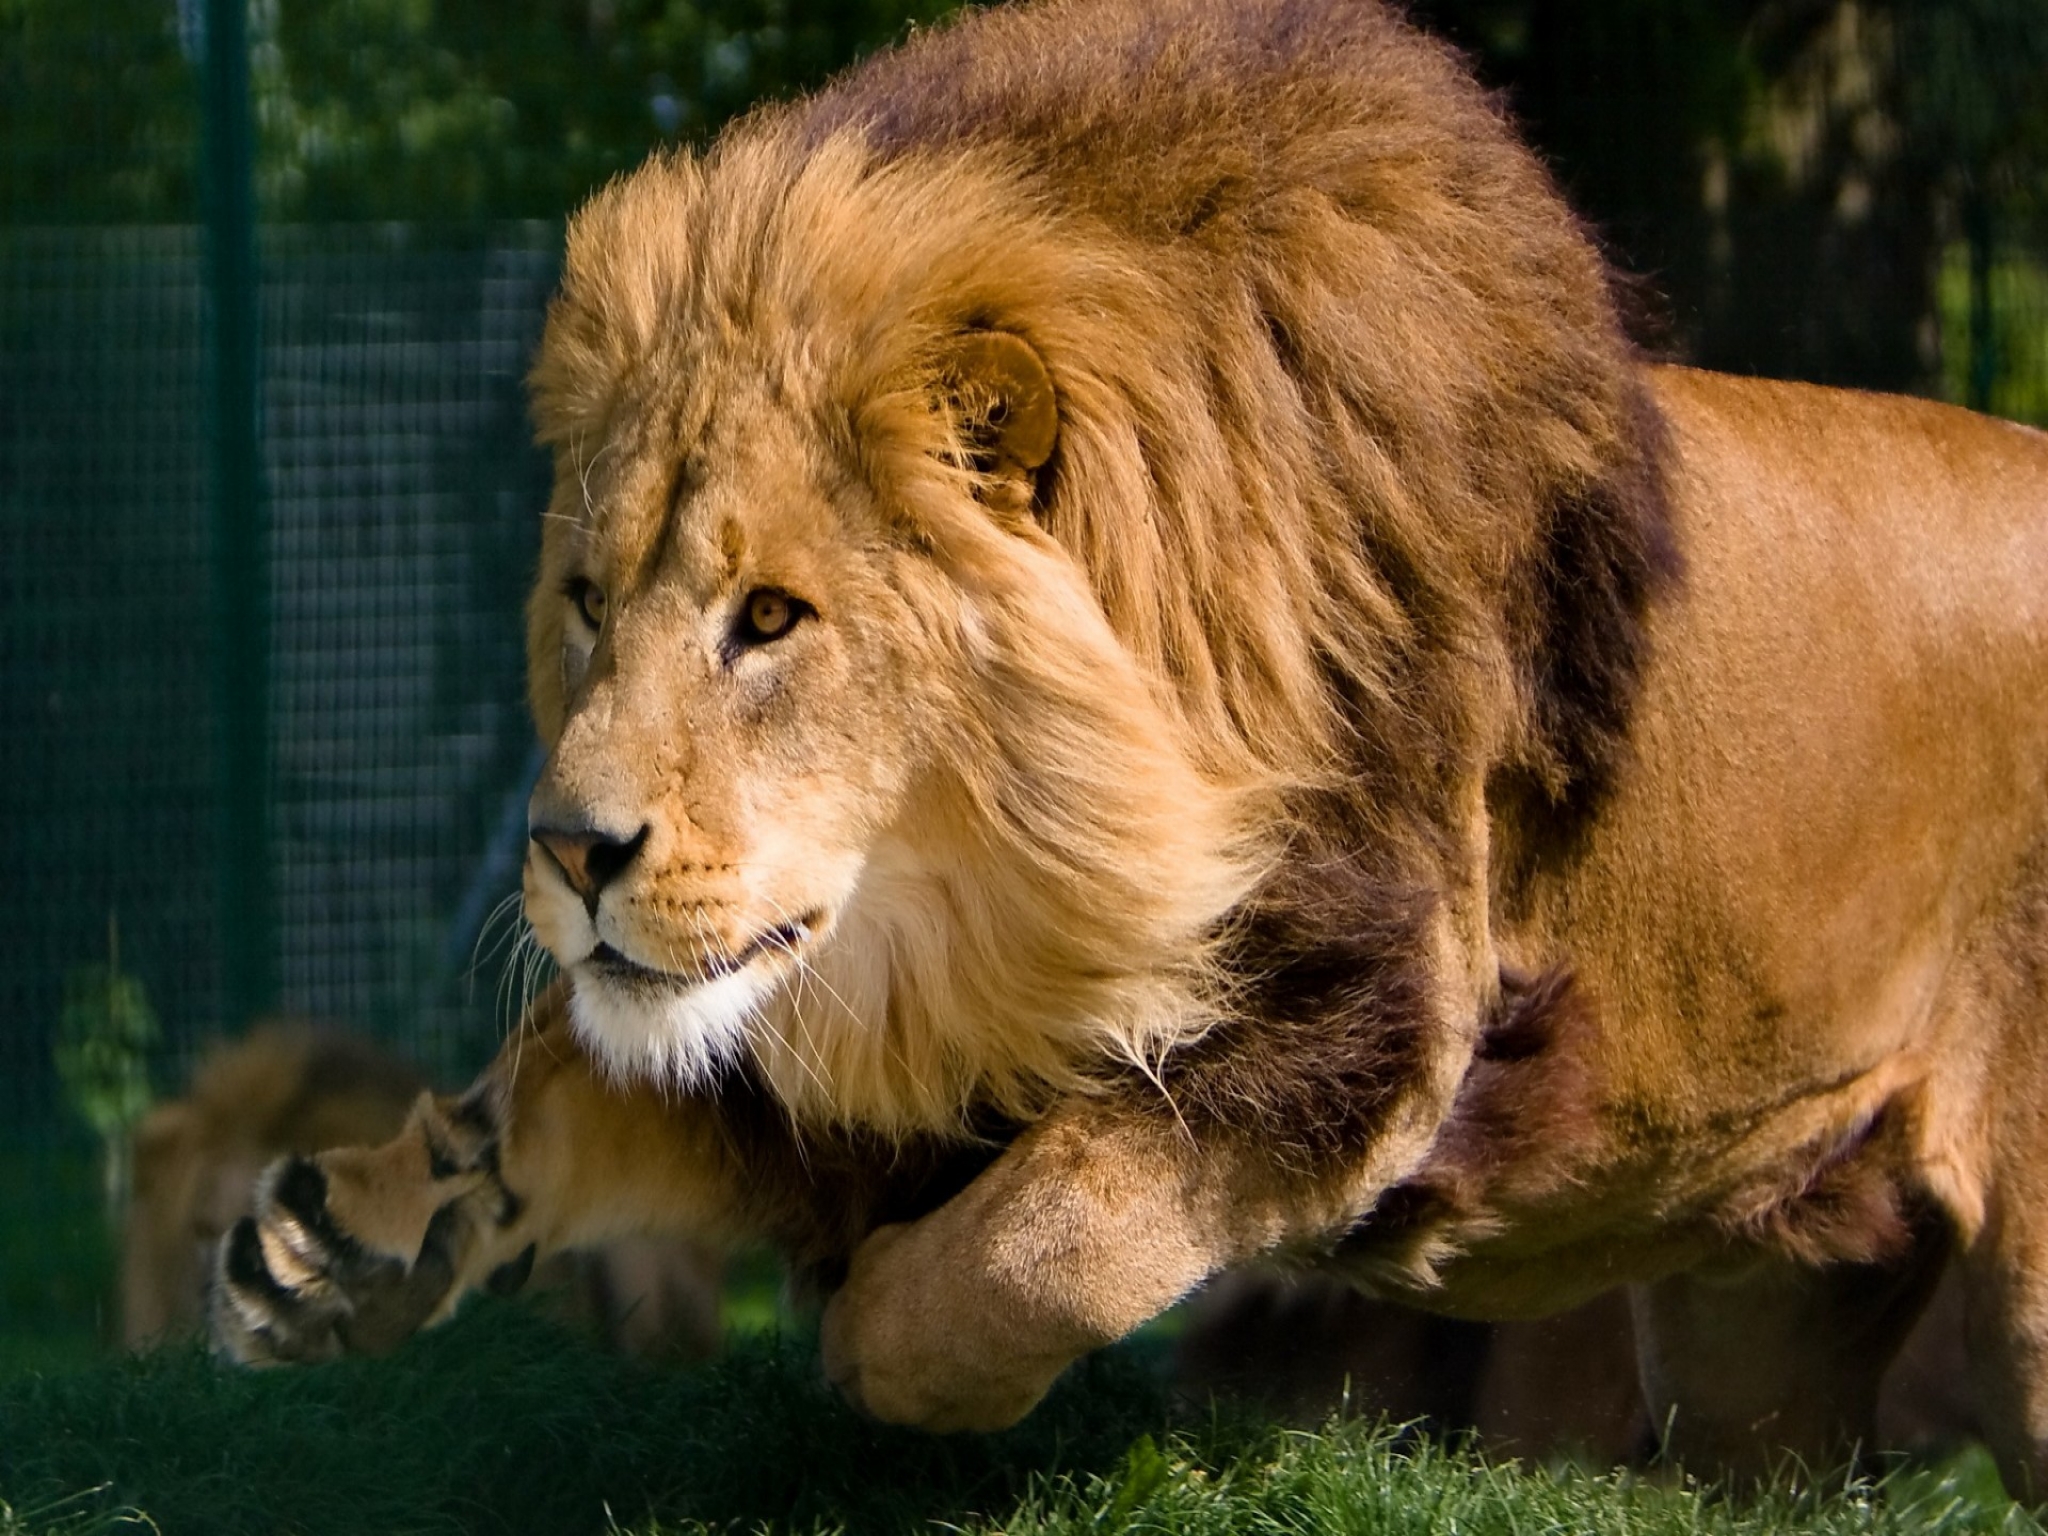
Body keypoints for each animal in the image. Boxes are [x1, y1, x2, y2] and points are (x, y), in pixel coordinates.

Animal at [210, 0, 2048, 1492]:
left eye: (771, 619)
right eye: (588, 604)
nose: (570, 853)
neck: (976, 914)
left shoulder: (1375, 1009)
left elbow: (1053, 1231)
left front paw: (877, 1324)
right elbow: (568, 1082)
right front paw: (345, 1241)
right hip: (1758, 1330)